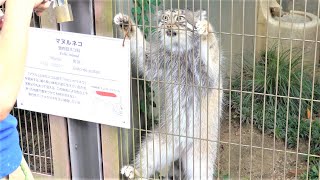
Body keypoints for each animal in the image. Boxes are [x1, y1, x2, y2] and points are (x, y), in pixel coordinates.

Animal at [114, 8, 222, 180]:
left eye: (180, 18)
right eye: (165, 18)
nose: (168, 25)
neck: (179, 52)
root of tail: (181, 149)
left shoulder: (208, 76)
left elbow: (211, 58)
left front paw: (205, 30)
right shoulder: (156, 61)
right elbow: (143, 54)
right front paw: (127, 25)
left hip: (201, 156)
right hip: (158, 142)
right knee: (148, 156)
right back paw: (135, 172)